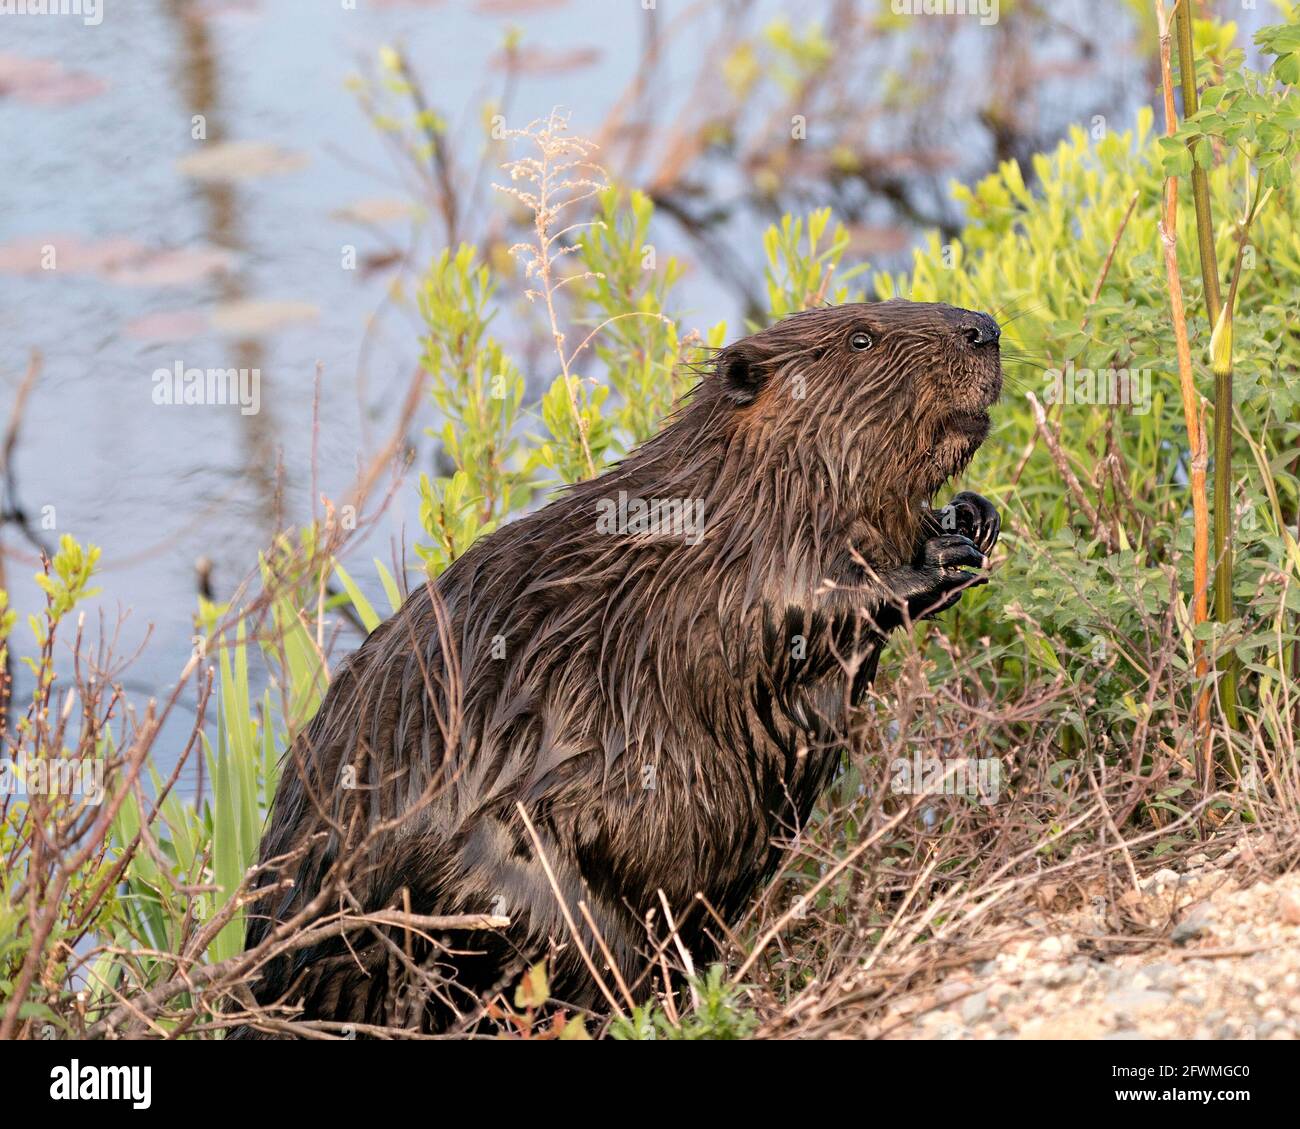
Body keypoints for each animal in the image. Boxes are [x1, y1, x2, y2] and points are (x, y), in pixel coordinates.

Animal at [236, 297, 1003, 1030]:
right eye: (860, 338)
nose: (985, 328)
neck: (735, 488)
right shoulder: (711, 575)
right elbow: (780, 613)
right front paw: (939, 559)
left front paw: (972, 514)